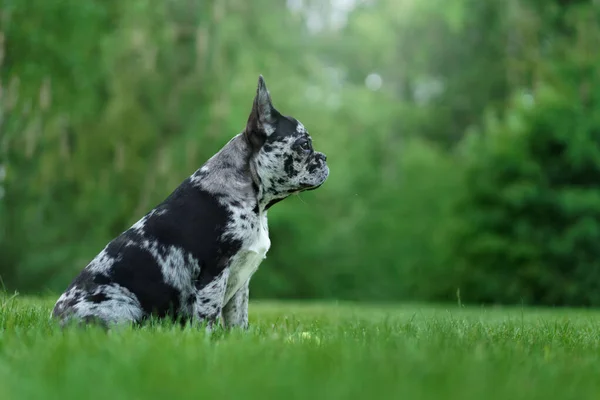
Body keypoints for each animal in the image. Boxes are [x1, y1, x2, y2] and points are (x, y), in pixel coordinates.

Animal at [52, 76, 330, 330]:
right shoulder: (214, 273)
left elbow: (238, 321)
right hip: (122, 307)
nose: (324, 157)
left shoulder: (241, 283)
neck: (254, 200)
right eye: (304, 145)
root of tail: (56, 321)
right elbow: (208, 317)